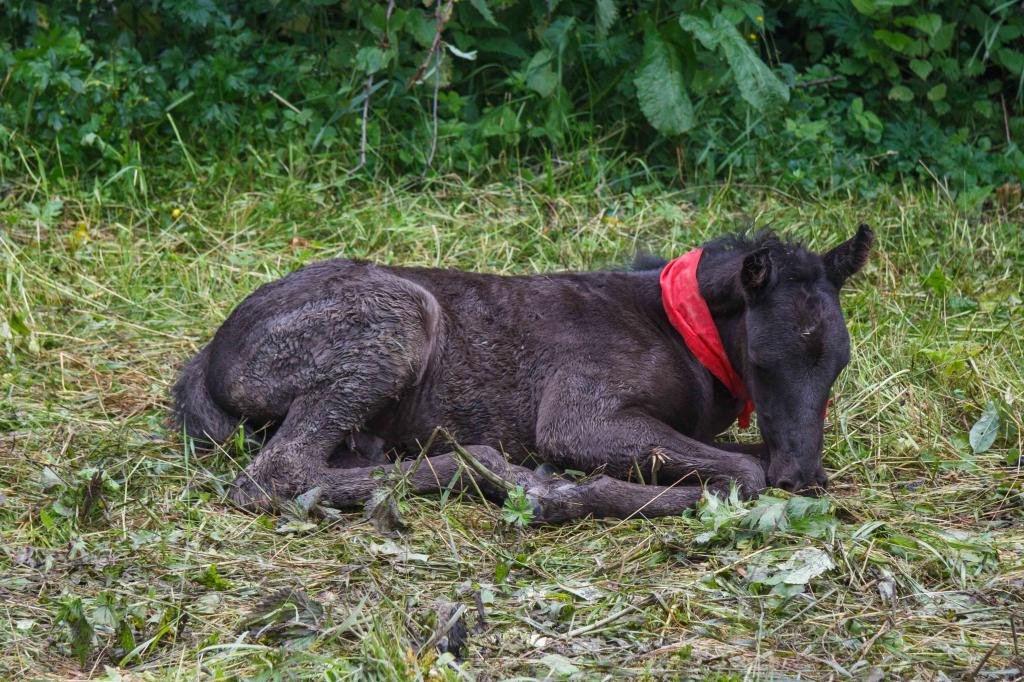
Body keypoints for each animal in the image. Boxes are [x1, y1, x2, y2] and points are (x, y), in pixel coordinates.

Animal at [174, 225, 872, 522]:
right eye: (763, 360)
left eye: (839, 363)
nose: (804, 476)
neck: (683, 335)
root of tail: (211, 362)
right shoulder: (577, 416)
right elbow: (743, 474)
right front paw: (576, 492)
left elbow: (745, 458)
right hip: (397, 321)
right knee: (273, 475)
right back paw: (516, 479)